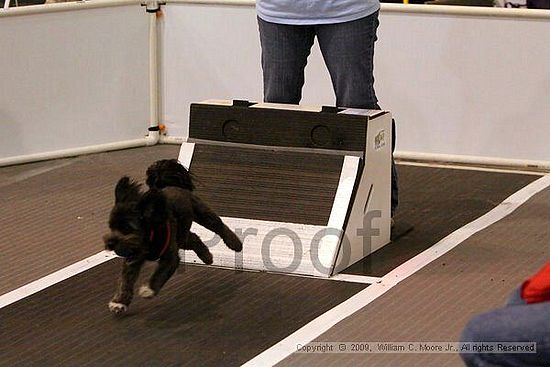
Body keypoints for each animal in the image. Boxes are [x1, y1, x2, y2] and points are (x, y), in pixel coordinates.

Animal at [103, 160, 242, 314]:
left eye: (127, 229)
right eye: (111, 227)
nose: (110, 243)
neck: (147, 240)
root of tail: (172, 185)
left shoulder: (170, 258)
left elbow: (161, 272)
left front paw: (149, 289)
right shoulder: (133, 259)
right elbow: (125, 280)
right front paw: (119, 302)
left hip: (202, 214)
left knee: (220, 226)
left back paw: (235, 244)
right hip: (181, 236)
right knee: (194, 238)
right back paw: (207, 257)